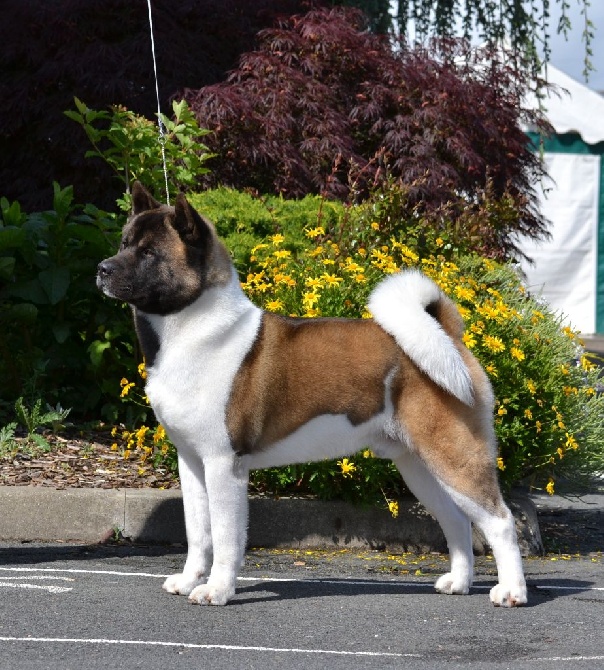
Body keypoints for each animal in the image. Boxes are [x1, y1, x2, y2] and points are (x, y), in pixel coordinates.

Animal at [96, 182, 528, 608]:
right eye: (123, 243)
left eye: (149, 253)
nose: (102, 269)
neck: (191, 329)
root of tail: (447, 335)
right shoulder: (192, 463)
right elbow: (198, 532)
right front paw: (189, 581)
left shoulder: (223, 464)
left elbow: (225, 536)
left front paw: (216, 590)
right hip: (418, 464)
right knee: (456, 520)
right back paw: (459, 582)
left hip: (454, 456)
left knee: (500, 521)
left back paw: (512, 592)